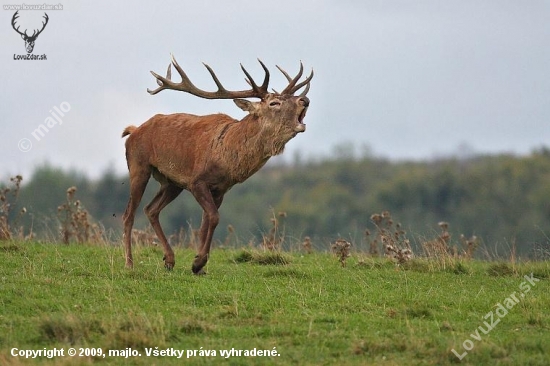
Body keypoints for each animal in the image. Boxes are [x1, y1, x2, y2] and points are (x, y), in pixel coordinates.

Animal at [123, 55, 314, 274]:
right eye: (274, 102)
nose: (305, 100)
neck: (227, 157)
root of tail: (133, 131)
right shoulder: (196, 181)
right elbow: (214, 217)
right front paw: (198, 262)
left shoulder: (221, 189)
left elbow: (206, 223)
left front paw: (198, 265)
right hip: (139, 166)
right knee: (129, 214)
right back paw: (129, 263)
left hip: (172, 183)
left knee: (151, 209)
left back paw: (169, 260)